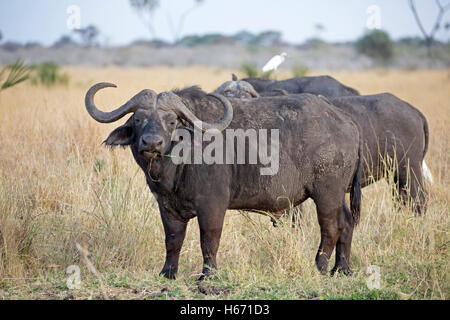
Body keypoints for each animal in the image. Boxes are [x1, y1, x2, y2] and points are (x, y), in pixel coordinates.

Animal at [85, 82, 366, 278]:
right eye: (138, 119)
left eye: (171, 120)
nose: (151, 143)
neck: (178, 162)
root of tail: (346, 120)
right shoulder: (166, 206)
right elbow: (173, 240)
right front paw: (167, 273)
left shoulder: (212, 204)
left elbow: (209, 239)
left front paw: (207, 275)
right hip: (338, 194)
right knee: (347, 223)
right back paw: (341, 269)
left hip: (326, 193)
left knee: (331, 227)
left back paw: (319, 266)